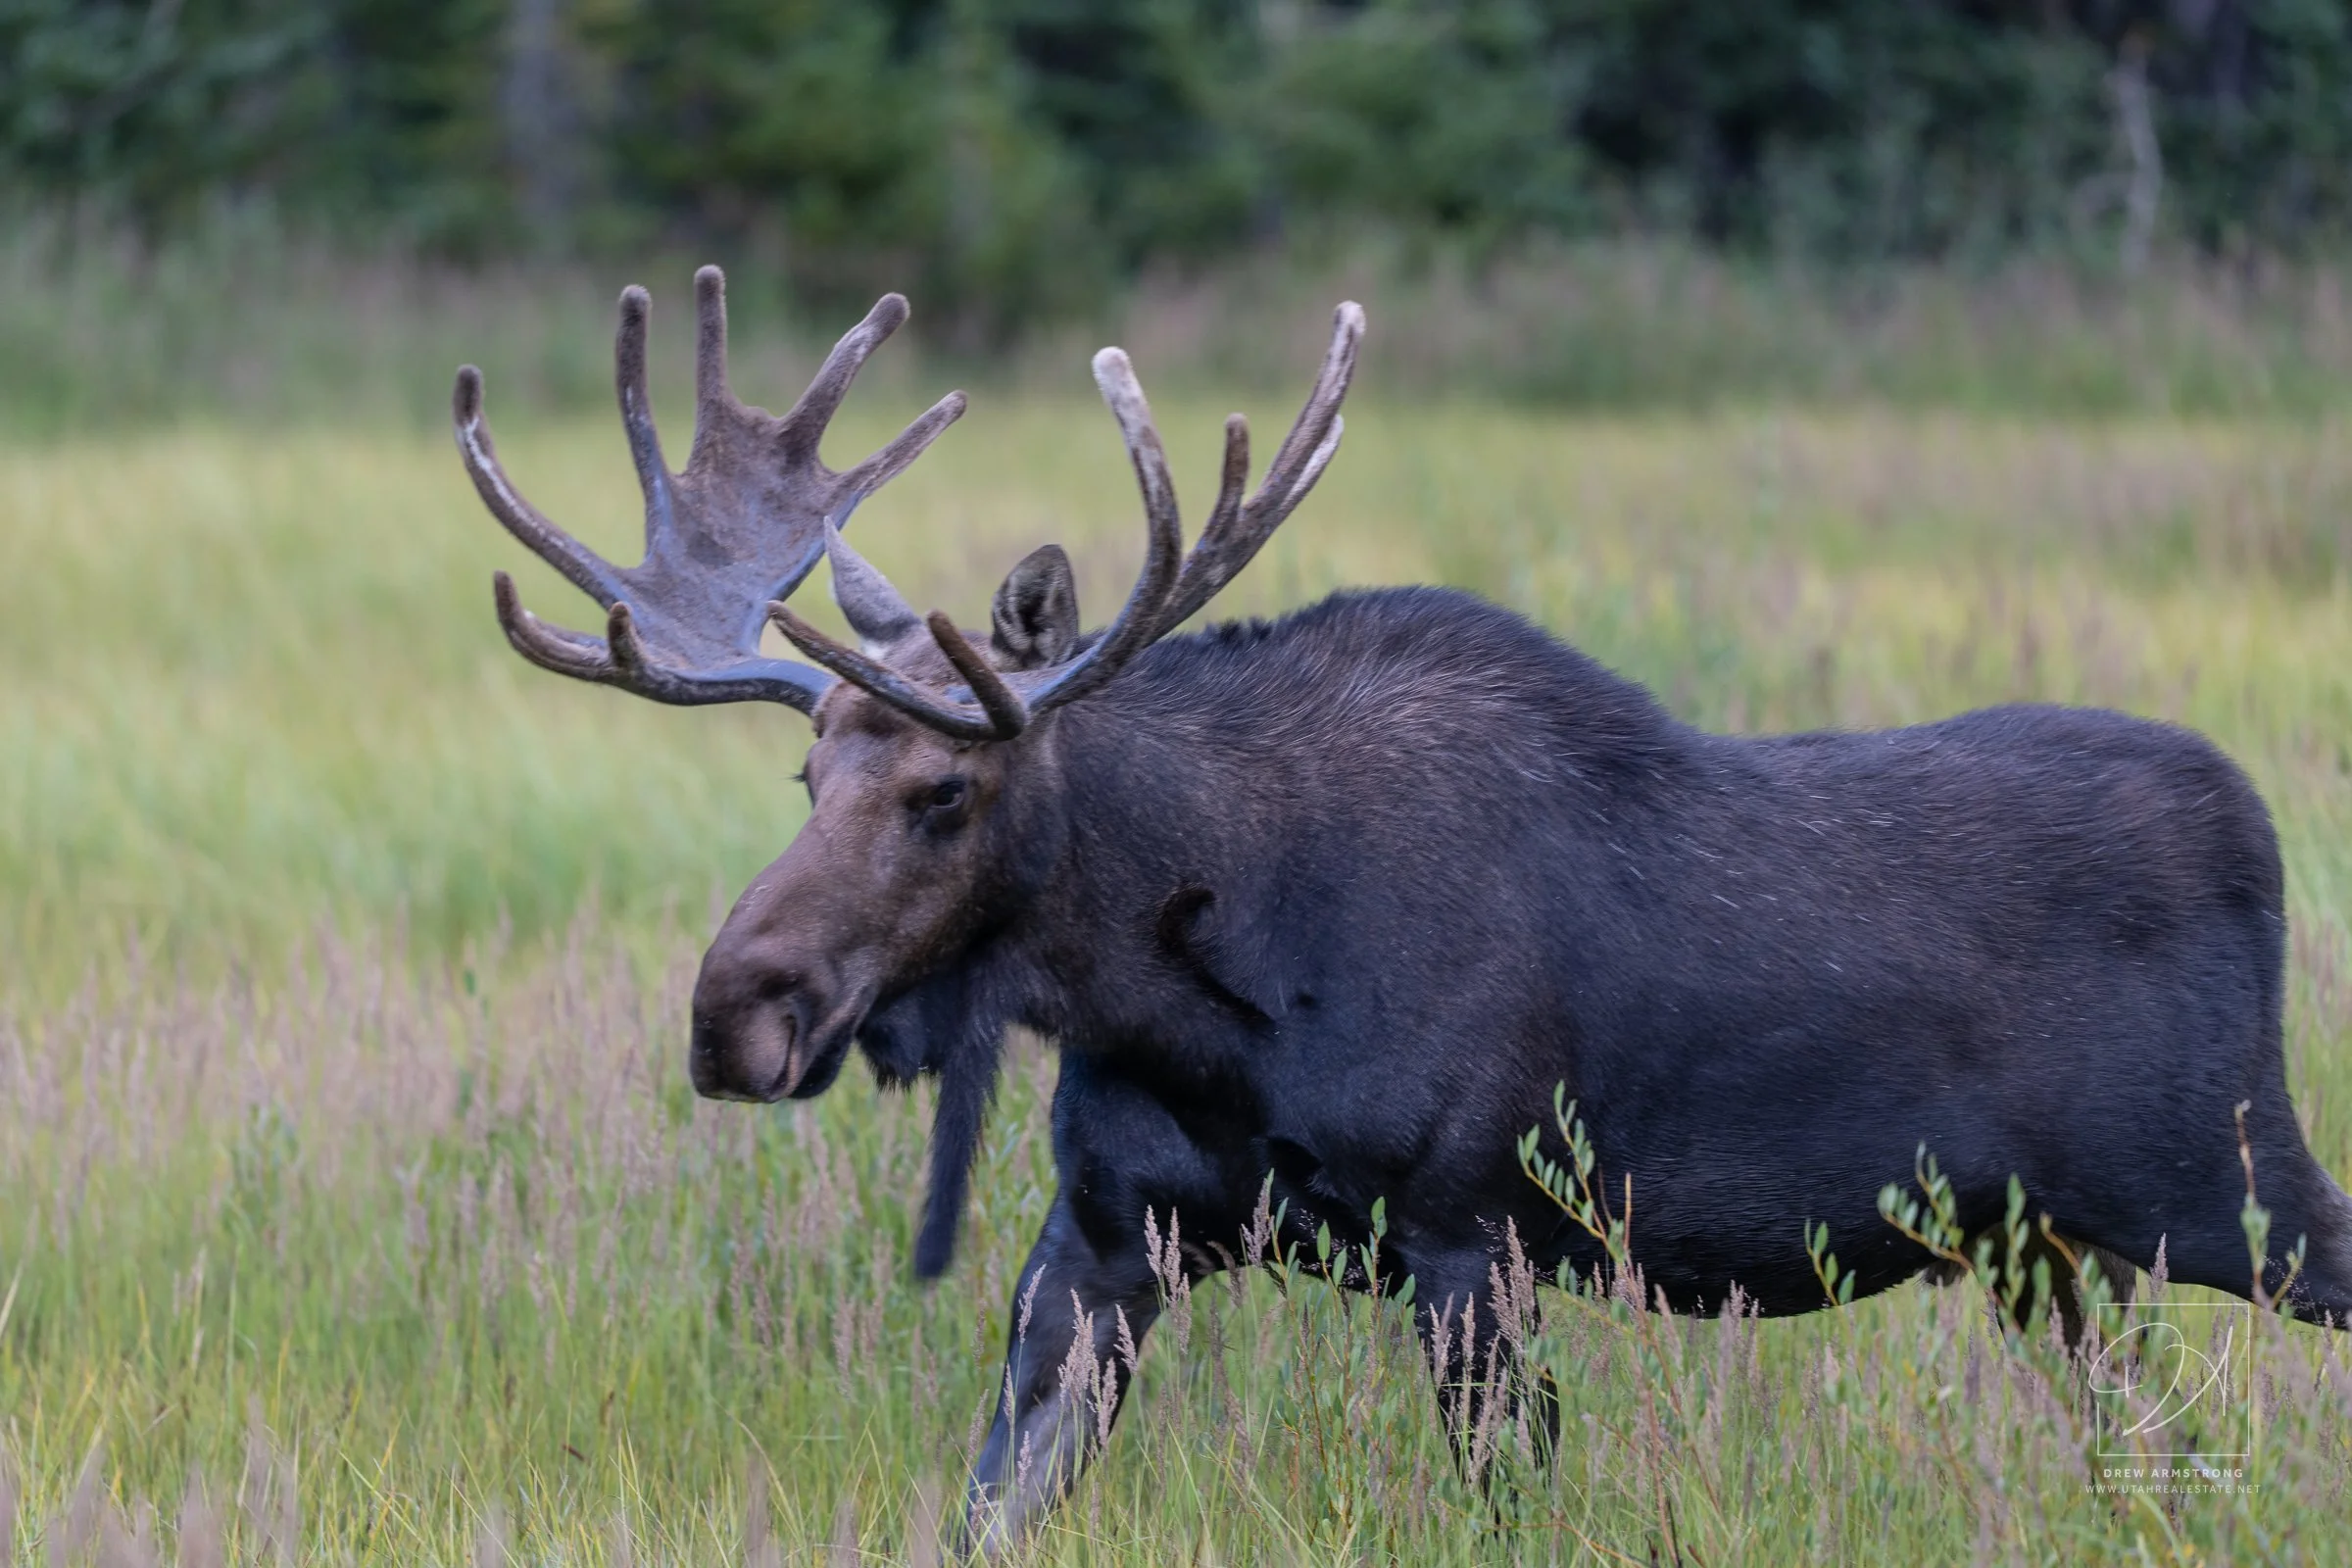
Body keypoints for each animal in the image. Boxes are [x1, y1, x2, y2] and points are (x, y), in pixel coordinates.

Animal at [453, 268, 2352, 1551]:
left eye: (945, 793)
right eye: (805, 777)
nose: (737, 1010)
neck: (1192, 1001)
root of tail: (2255, 829)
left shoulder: (1471, 1238)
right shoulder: (1104, 1240)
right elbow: (992, 1502)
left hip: (2227, 1180)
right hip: (2050, 1248)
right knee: (2150, 1441)